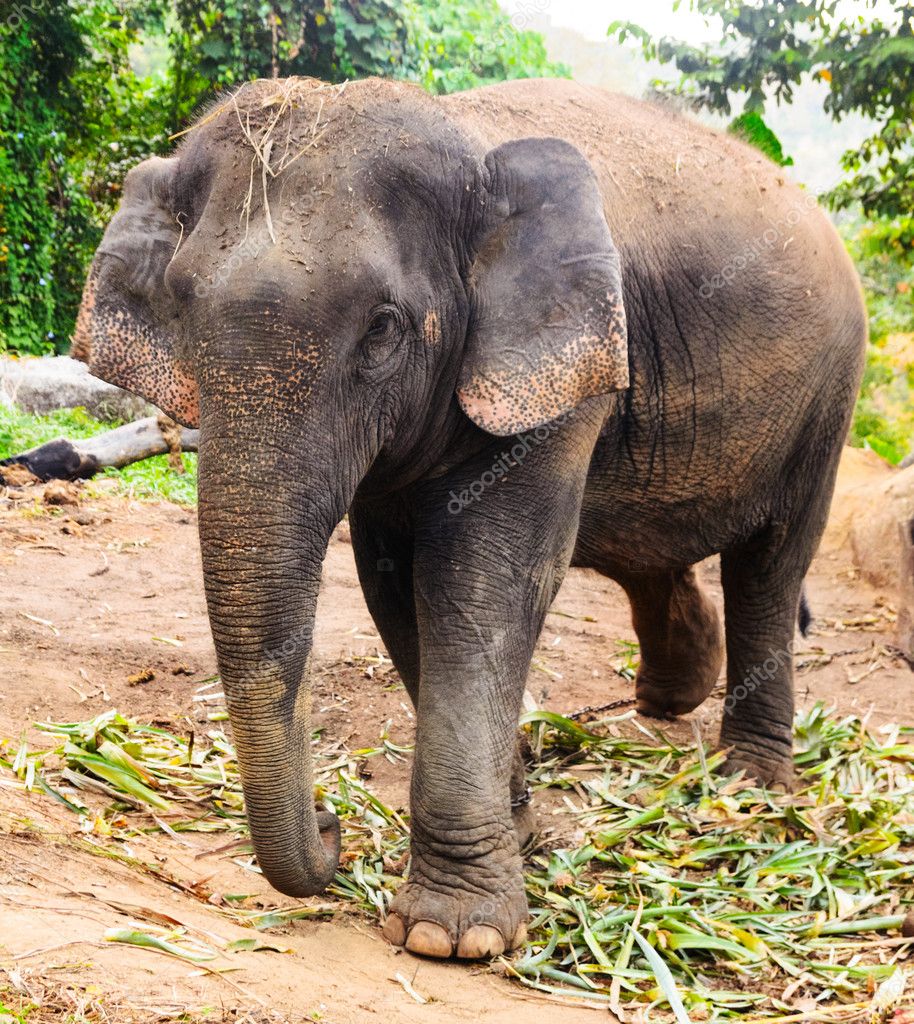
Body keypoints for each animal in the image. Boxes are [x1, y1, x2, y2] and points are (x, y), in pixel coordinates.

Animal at [73, 76, 866, 961]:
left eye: (382, 328)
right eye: (179, 307)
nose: (331, 820)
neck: (463, 132)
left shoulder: (559, 361)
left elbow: (483, 584)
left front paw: (451, 937)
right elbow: (395, 585)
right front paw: (516, 835)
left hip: (830, 396)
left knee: (771, 563)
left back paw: (749, 781)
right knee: (653, 554)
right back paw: (668, 700)